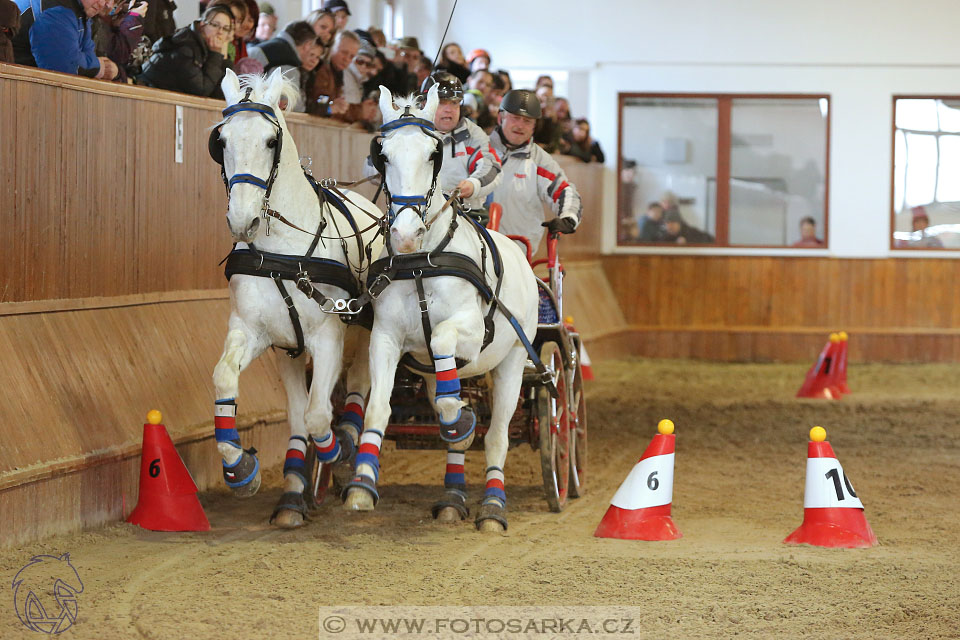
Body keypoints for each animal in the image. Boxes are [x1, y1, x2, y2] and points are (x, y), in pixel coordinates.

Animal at [212, 70, 384, 528]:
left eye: (271, 141)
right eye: (221, 141)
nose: (243, 221)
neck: (283, 253)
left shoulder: (328, 335)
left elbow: (319, 414)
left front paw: (338, 451)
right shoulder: (259, 334)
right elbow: (226, 379)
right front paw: (241, 469)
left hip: (366, 331)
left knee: (359, 384)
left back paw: (348, 443)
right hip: (291, 349)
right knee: (299, 407)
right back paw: (293, 491)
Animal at [344, 85, 540, 532]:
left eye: (434, 153)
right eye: (382, 153)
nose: (405, 232)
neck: (421, 261)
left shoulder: (470, 331)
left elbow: (441, 337)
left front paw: (463, 419)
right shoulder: (385, 338)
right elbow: (378, 410)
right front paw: (362, 484)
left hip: (513, 360)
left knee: (497, 435)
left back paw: (493, 506)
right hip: (441, 374)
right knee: (453, 428)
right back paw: (452, 496)